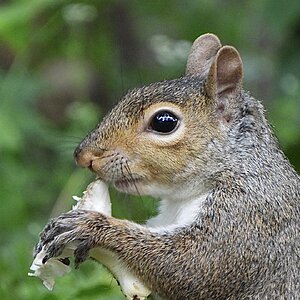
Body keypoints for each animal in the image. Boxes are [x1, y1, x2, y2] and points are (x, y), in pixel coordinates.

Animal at [36, 34, 298, 298]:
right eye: (131, 93)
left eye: (164, 122)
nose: (83, 156)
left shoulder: (247, 217)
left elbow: (192, 265)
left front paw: (90, 226)